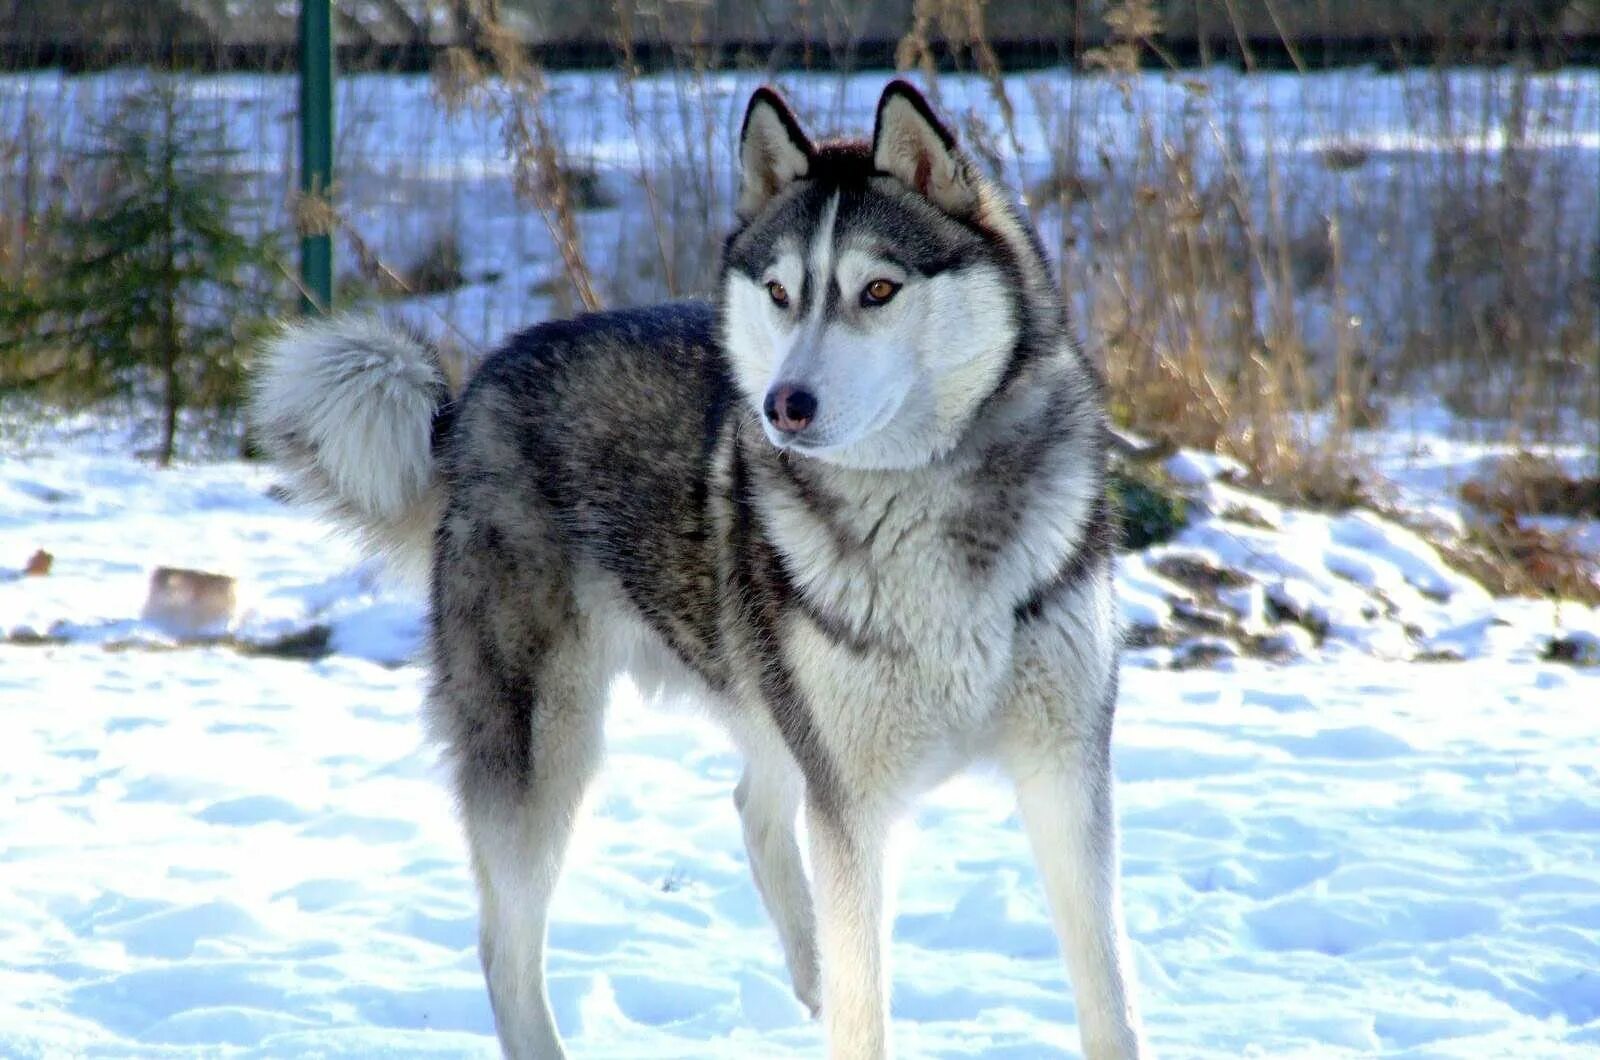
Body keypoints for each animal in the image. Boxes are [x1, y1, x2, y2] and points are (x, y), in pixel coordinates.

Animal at [249, 83, 1145, 1060]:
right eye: (782, 294)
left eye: (878, 290)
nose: (784, 405)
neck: (929, 508)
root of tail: (476, 388)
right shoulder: (853, 803)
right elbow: (866, 1007)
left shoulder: (1066, 774)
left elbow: (1109, 999)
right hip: (546, 747)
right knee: (504, 946)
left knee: (753, 808)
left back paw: (807, 982)